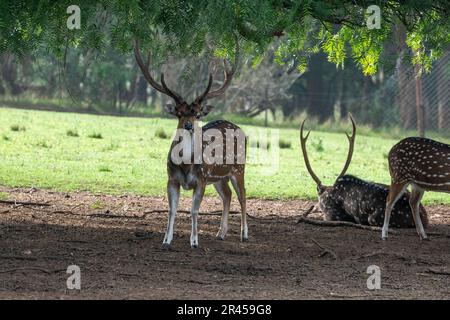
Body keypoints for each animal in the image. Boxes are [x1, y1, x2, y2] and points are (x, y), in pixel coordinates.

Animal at [134, 40, 248, 249]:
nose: (188, 125)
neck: (186, 165)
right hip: (218, 178)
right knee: (227, 195)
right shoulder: (172, 179)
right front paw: (166, 240)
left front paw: (194, 241)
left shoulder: (201, 180)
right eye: (179, 113)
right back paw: (220, 233)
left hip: (238, 169)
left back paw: (244, 235)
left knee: (242, 195)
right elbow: (172, 210)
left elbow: (194, 210)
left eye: (196, 114)